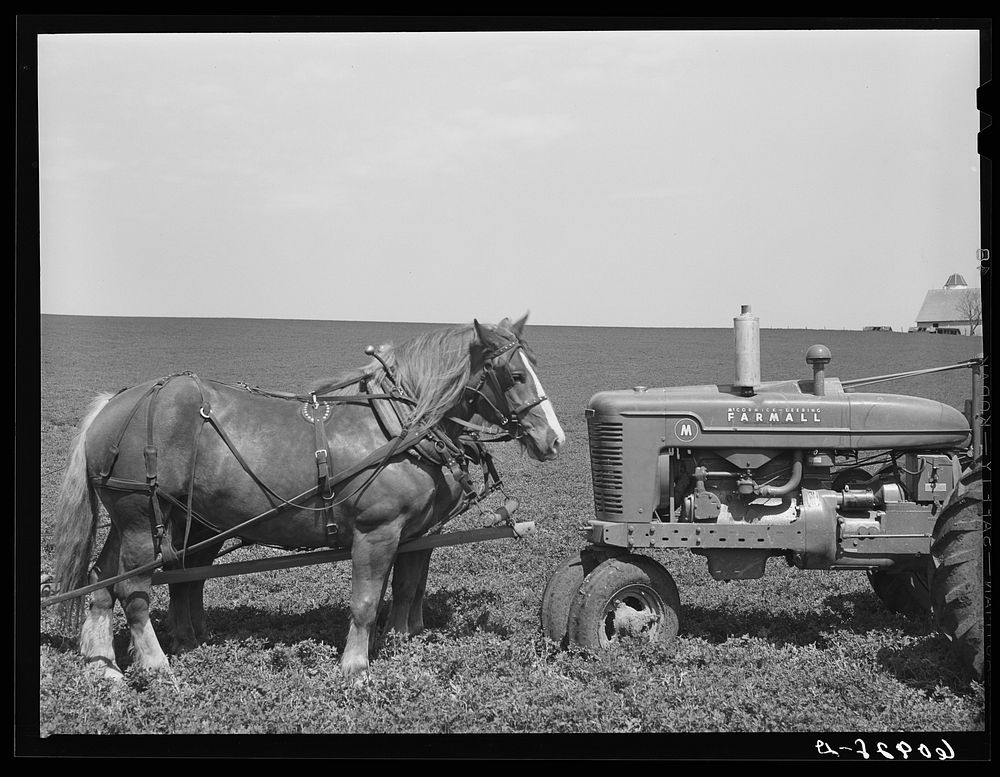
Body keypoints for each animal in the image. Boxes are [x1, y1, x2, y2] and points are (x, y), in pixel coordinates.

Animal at [49, 314, 565, 680]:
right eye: (515, 375)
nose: (554, 439)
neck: (401, 429)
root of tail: (115, 403)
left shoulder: (416, 533)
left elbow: (407, 591)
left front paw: (403, 646)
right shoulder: (377, 532)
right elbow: (365, 602)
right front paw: (355, 667)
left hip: (138, 519)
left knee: (103, 578)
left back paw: (103, 665)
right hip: (142, 516)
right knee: (133, 588)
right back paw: (157, 667)